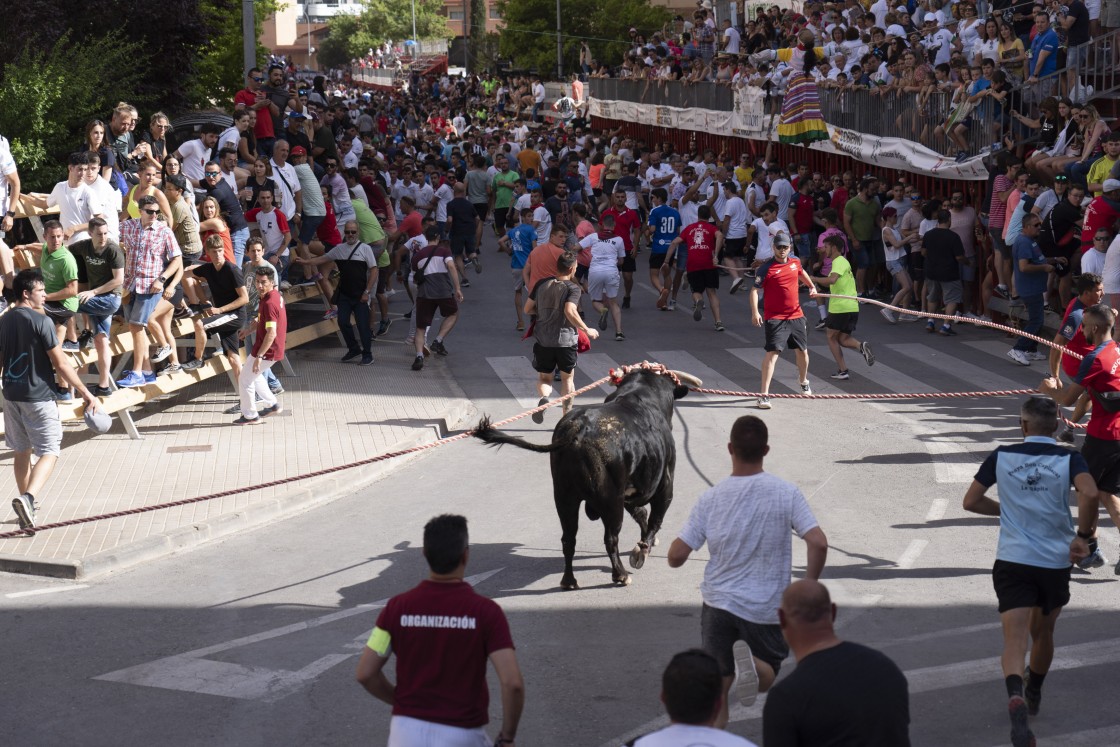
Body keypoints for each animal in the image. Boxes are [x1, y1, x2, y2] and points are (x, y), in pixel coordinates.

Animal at [470, 367, 698, 591]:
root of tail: (577, 430)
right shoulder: (664, 486)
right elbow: (654, 520)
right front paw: (642, 551)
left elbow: (641, 514)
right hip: (610, 500)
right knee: (610, 538)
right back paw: (620, 575)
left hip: (564, 497)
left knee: (568, 538)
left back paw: (569, 581)